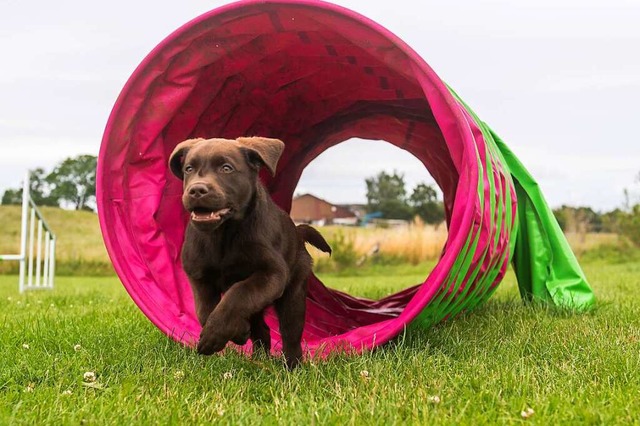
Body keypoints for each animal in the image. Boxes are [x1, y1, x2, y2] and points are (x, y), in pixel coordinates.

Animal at [169, 136, 330, 370]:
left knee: (291, 333)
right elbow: (204, 310)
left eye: (226, 168)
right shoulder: (199, 277)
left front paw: (215, 335)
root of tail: (297, 231)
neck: (224, 234)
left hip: (294, 292)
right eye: (189, 169)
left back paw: (293, 366)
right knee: (262, 328)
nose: (197, 190)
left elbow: (238, 293)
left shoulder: (272, 274)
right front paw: (235, 332)